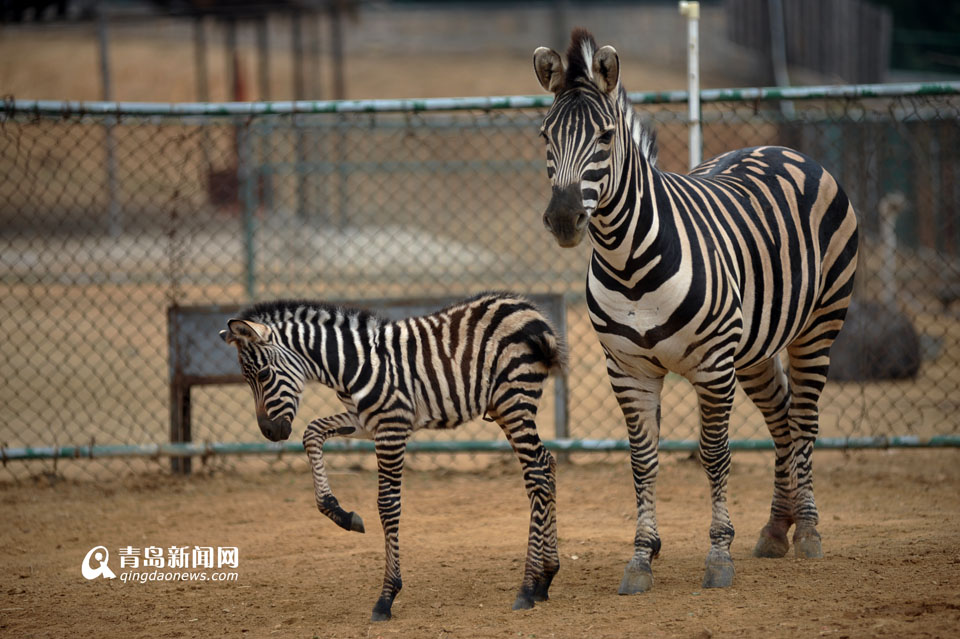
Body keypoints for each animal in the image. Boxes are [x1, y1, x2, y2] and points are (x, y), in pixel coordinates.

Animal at [221, 294, 568, 620]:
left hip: (514, 401)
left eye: (263, 374)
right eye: (248, 378)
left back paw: (527, 588)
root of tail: (526, 308)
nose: (269, 432)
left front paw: (386, 597)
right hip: (503, 408)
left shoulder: (392, 426)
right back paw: (545, 578)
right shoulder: (361, 421)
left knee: (537, 476)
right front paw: (341, 514)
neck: (350, 365)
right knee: (546, 463)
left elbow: (387, 505)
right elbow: (311, 433)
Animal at [532, 31, 864, 596]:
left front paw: (717, 555)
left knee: (803, 418)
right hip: (754, 348)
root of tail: (784, 148)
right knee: (781, 419)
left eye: (604, 137)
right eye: (545, 136)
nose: (563, 218)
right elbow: (643, 460)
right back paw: (776, 529)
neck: (629, 263)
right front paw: (641, 558)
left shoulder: (712, 366)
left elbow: (714, 453)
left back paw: (808, 531)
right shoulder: (628, 370)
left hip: (818, 325)